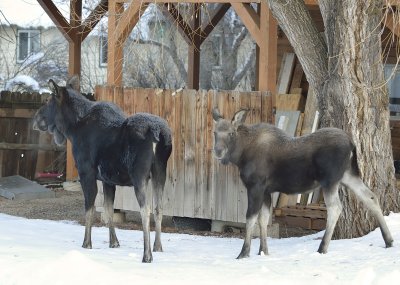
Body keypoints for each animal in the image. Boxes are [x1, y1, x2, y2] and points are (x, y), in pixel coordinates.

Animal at [212, 107, 394, 258]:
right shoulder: (266, 191)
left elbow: (250, 218)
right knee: (371, 197)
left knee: (335, 208)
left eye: (231, 133)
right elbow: (263, 219)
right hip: (348, 176)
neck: (241, 156)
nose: (218, 152)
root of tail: (352, 143)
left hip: (330, 180)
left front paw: (244, 253)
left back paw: (322, 248)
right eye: (215, 132)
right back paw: (389, 240)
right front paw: (263, 251)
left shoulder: (255, 186)